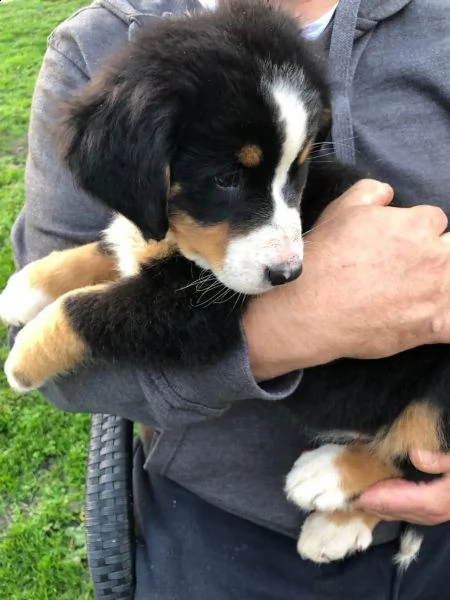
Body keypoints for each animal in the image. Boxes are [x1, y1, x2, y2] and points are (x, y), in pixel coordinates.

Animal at [0, 0, 444, 568]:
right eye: (227, 179)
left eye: (298, 173)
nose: (288, 276)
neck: (180, 238)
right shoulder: (150, 239)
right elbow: (107, 247)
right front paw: (27, 287)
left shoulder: (195, 313)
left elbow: (90, 309)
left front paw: (23, 359)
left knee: (419, 457)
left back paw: (327, 488)